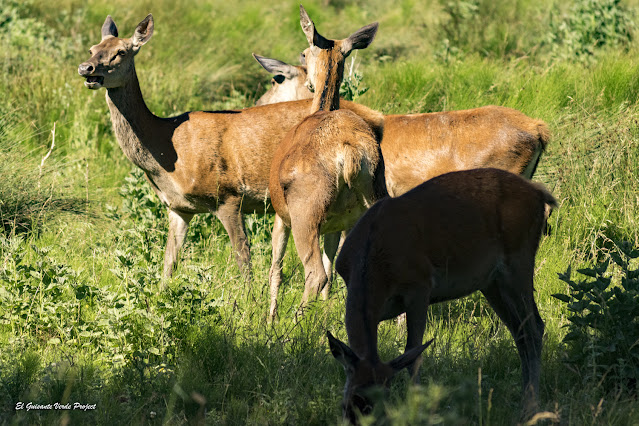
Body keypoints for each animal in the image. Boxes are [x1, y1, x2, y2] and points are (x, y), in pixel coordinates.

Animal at [75, 12, 388, 282]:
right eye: (92, 48)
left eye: (121, 52)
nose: (86, 68)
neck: (167, 152)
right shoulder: (178, 208)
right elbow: (168, 265)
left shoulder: (227, 195)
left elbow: (243, 261)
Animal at [268, 5, 388, 320]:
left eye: (303, 53)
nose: (308, 81)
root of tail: (350, 153)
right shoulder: (335, 224)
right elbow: (331, 264)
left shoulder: (279, 214)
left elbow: (276, 268)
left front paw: (269, 318)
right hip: (374, 201)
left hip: (305, 212)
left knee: (314, 273)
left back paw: (292, 324)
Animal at [328, 168, 556, 424]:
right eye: (348, 401)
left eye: (384, 399)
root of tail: (540, 194)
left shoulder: (419, 285)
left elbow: (413, 353)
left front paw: (416, 409)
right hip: (492, 282)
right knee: (521, 331)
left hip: (519, 259)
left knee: (534, 328)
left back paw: (530, 408)